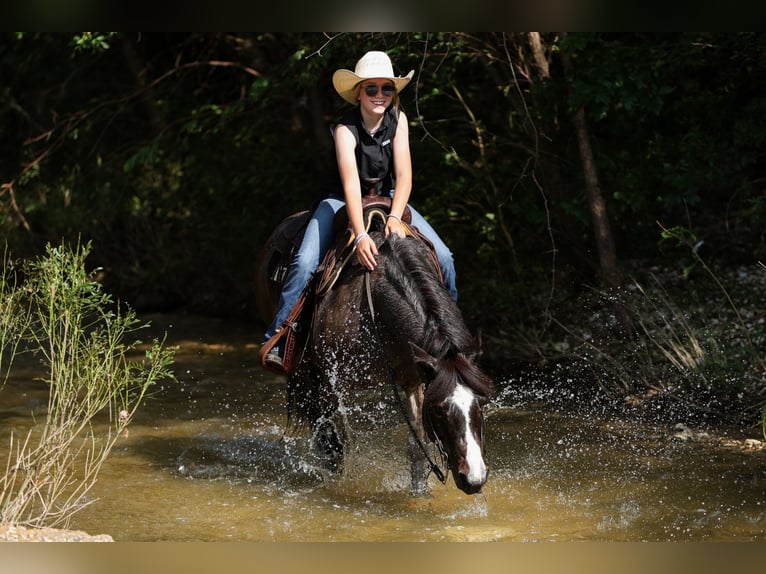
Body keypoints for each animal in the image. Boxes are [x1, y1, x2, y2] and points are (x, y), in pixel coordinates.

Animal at [260, 209, 498, 498]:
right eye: (440, 410)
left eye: (481, 403)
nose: (474, 479)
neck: (376, 309)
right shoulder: (332, 383)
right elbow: (337, 445)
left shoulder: (414, 380)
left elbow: (416, 444)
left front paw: (419, 493)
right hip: (302, 369)